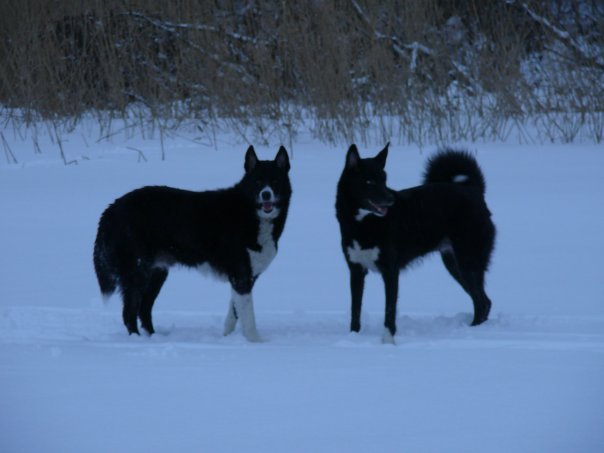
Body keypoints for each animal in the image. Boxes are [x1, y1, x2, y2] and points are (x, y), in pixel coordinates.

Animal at [93, 145, 291, 341]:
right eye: (257, 182)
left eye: (275, 180)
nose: (266, 194)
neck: (249, 211)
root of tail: (111, 209)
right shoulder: (241, 274)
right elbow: (248, 315)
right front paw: (255, 342)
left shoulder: (245, 277)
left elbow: (234, 312)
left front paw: (227, 337)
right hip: (138, 271)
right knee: (129, 312)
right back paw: (136, 339)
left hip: (157, 271)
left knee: (144, 308)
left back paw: (154, 338)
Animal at [335, 144, 495, 343]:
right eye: (369, 182)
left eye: (384, 180)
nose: (391, 200)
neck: (363, 223)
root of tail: (474, 190)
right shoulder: (356, 270)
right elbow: (355, 309)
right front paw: (353, 337)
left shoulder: (390, 271)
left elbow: (389, 309)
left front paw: (388, 341)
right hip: (454, 264)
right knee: (483, 301)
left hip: (468, 261)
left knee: (482, 301)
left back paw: (472, 332)